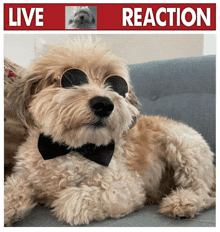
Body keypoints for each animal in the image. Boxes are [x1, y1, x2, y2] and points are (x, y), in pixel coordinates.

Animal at [4, 39, 216, 226]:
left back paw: (183, 202)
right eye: (70, 79)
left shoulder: (125, 187)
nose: (104, 104)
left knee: (205, 193)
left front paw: (58, 200)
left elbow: (70, 200)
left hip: (183, 145)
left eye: (116, 85)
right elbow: (15, 188)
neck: (73, 148)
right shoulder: (26, 176)